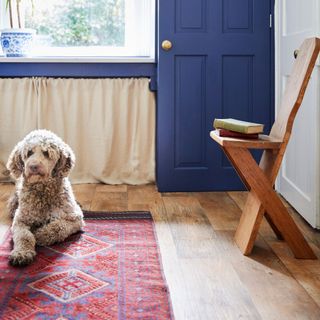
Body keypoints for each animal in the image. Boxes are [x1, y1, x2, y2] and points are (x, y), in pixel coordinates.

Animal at [6, 130, 84, 268]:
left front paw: (39, 235)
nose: (33, 166)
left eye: (47, 153)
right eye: (29, 152)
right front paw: (21, 253)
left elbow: (58, 227)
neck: (42, 190)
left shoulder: (75, 218)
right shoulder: (20, 220)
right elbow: (23, 236)